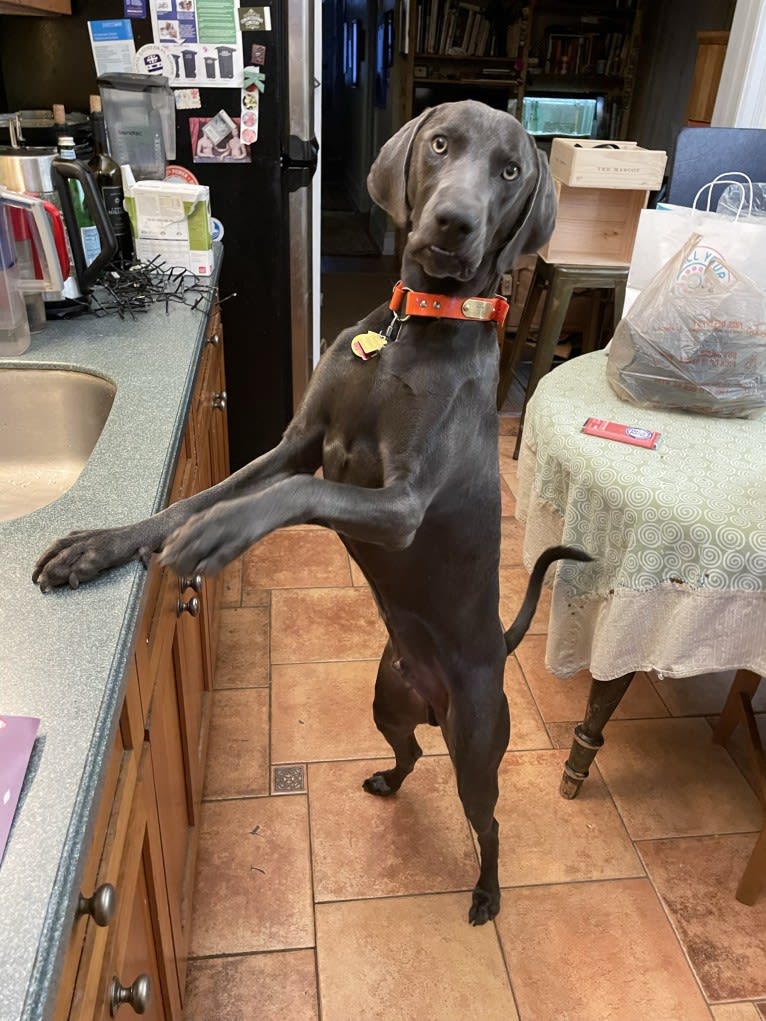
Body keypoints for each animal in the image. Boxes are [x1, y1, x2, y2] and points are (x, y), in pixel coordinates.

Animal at [31, 101, 592, 927]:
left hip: (477, 744)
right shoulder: (296, 443)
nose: (454, 222)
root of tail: (495, 647)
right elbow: (196, 496)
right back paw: (388, 781)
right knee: (409, 750)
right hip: (388, 698)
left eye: (511, 169)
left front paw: (214, 536)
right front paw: (96, 546)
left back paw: (487, 893)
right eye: (441, 143)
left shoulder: (396, 505)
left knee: (487, 822)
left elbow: (294, 498)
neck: (408, 333)